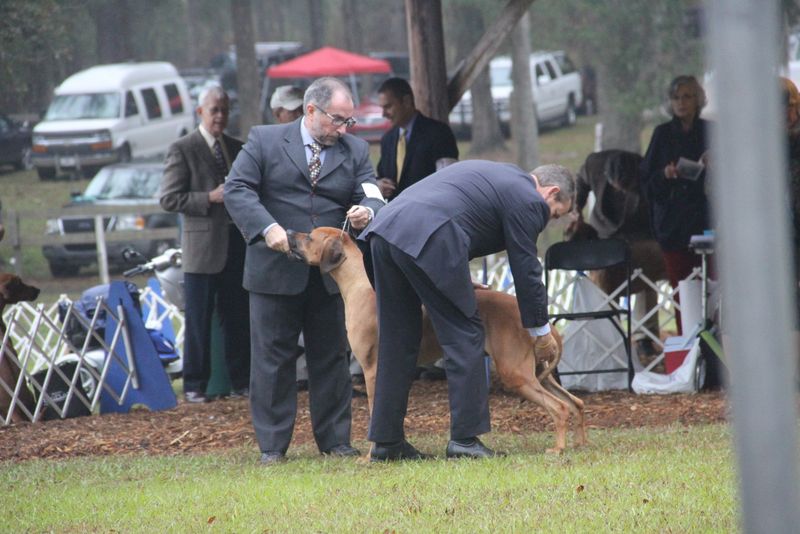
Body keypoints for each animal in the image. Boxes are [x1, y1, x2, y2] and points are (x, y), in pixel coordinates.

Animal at [290, 228, 588, 454]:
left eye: (310, 236)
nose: (291, 234)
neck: (358, 283)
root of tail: (539, 320)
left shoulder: (372, 369)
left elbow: (376, 411)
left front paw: (372, 454)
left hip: (516, 373)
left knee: (560, 407)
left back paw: (558, 448)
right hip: (538, 372)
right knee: (576, 403)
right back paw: (579, 443)